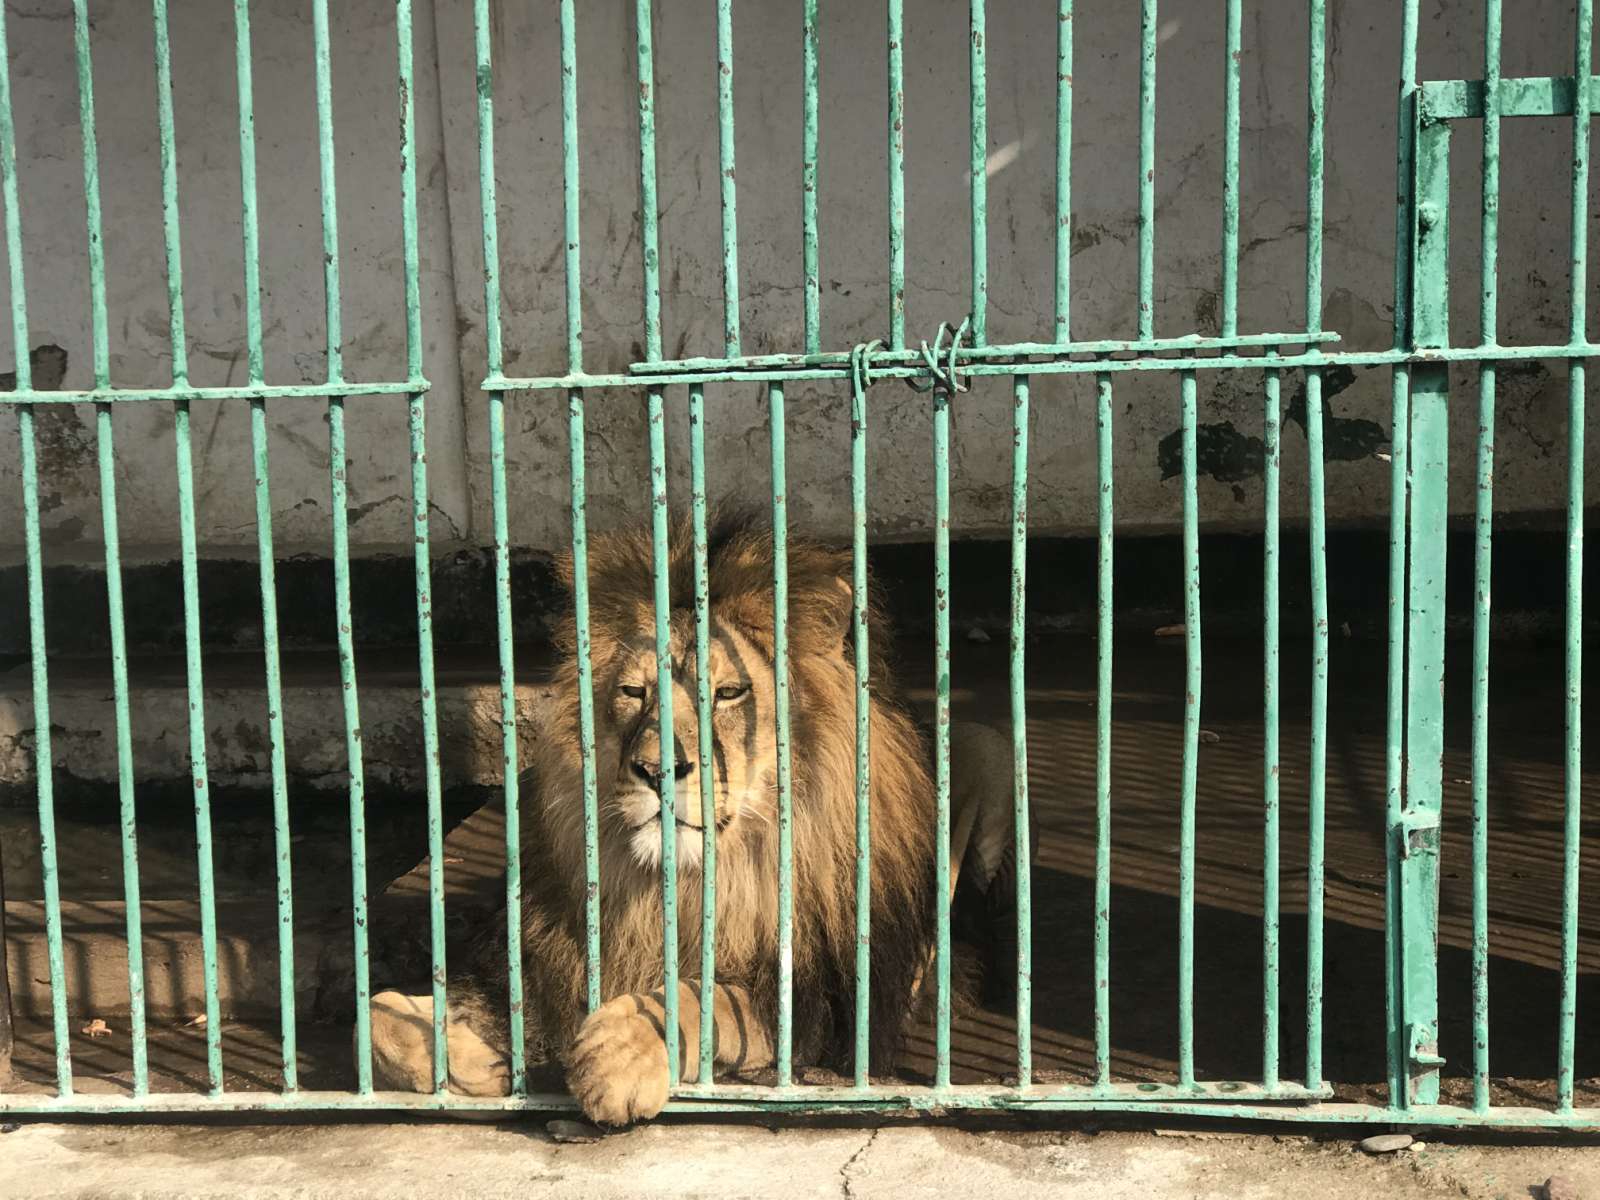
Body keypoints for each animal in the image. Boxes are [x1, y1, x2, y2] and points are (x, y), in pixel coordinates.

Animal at [368, 512, 1020, 1123]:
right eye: (633, 692)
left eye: (729, 694)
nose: (658, 770)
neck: (694, 879)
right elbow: (377, 1016)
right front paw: (466, 1055)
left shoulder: (831, 1010)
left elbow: (705, 998)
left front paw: (619, 1053)